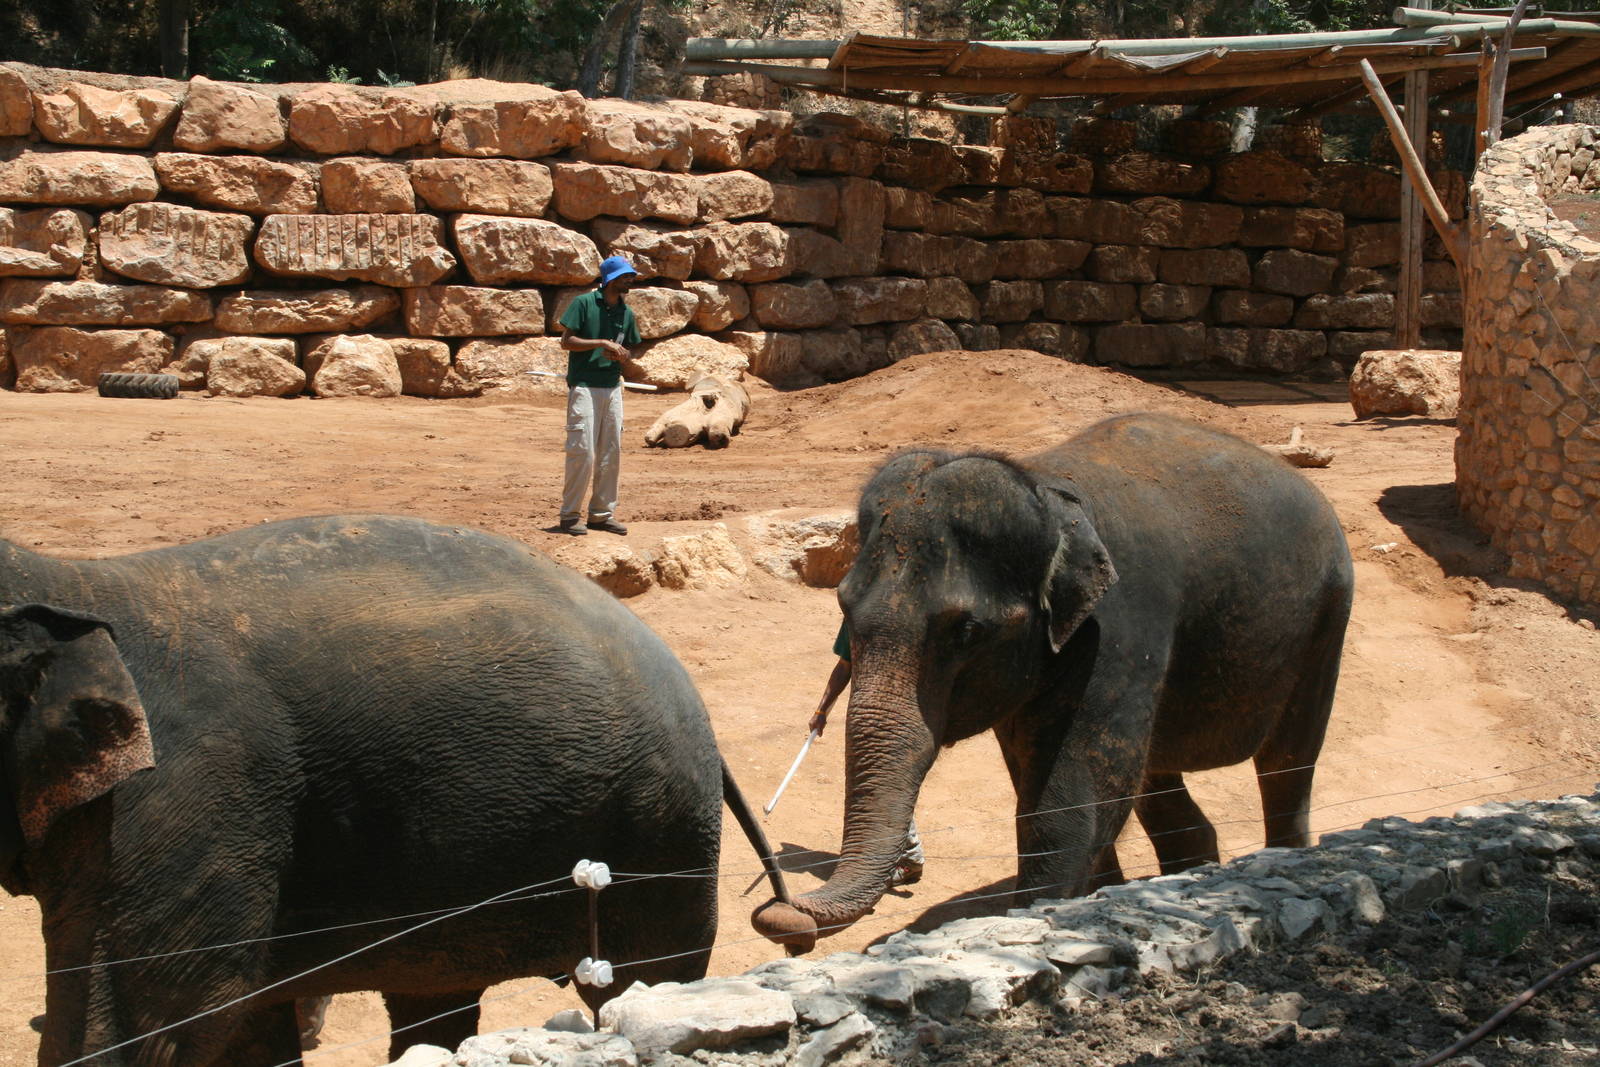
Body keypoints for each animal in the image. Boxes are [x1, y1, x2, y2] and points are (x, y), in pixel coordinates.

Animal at [0, 514, 788, 1066]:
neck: (76, 581)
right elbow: (240, 1024)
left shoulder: (181, 798)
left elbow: (149, 1023)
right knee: (433, 1000)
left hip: (661, 833)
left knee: (645, 982)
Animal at [751, 413, 1354, 952]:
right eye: (843, 607)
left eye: (966, 631)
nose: (780, 915)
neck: (1043, 489)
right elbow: (1045, 783)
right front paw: (1097, 902)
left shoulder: (1118, 627)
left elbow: (1069, 804)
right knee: (1157, 777)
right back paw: (1189, 877)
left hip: (1328, 617)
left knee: (1286, 763)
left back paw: (1282, 860)